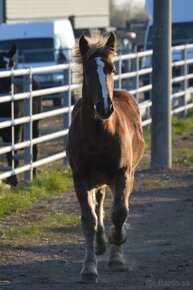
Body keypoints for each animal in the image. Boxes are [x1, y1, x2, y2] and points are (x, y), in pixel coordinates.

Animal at [67, 32, 144, 284]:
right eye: (88, 71)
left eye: (112, 68)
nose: (104, 107)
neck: (99, 134)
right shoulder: (80, 178)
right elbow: (89, 220)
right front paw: (89, 269)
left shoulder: (123, 174)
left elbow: (120, 212)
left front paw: (117, 245)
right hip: (97, 180)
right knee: (98, 203)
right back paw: (100, 244)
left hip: (125, 176)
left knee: (117, 205)